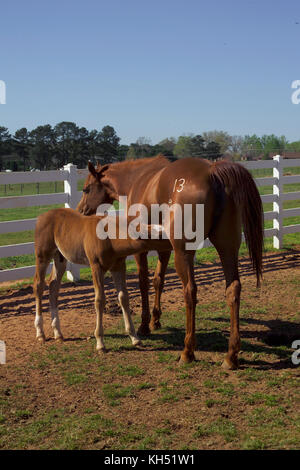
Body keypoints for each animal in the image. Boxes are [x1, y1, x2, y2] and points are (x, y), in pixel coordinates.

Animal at [77, 156, 262, 370]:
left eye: (86, 189)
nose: (81, 210)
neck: (136, 180)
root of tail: (212, 171)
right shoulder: (164, 249)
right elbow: (158, 280)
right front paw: (155, 321)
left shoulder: (141, 250)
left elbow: (143, 282)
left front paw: (144, 325)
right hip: (227, 249)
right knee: (233, 289)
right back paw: (231, 356)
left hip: (184, 253)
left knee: (190, 291)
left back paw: (187, 351)